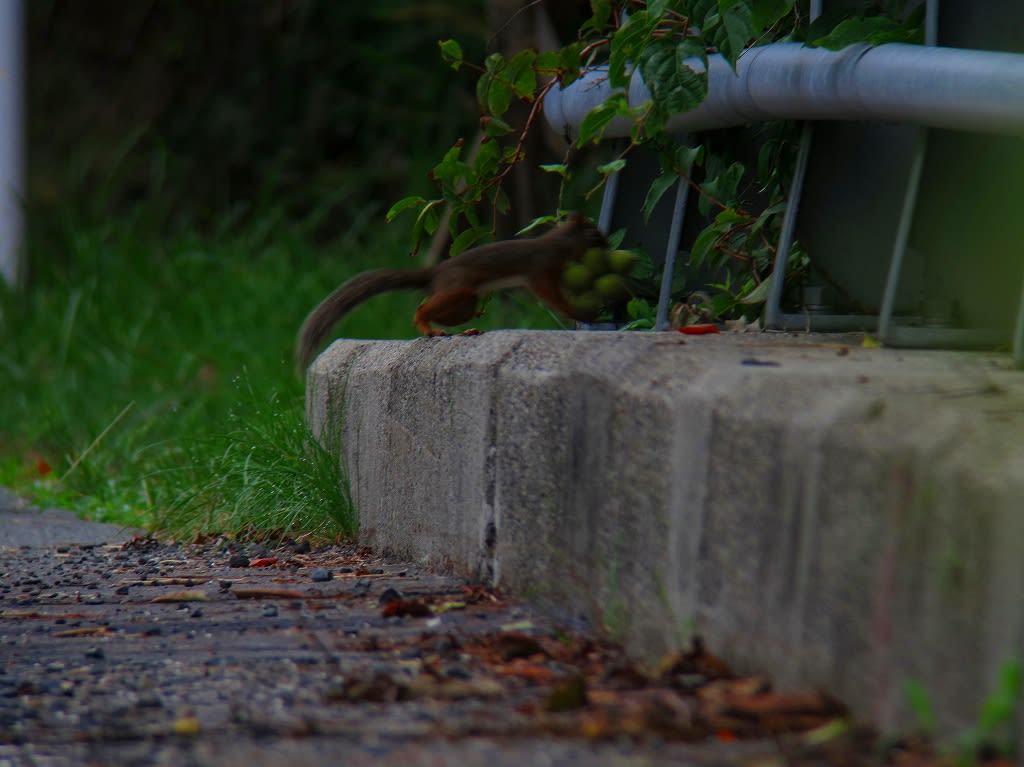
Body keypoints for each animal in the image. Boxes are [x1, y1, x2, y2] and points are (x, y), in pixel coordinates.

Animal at [292, 210, 602, 368]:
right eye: (596, 235)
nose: (607, 243)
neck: (560, 243)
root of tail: (435, 273)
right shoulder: (542, 270)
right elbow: (552, 296)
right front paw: (580, 311)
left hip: (463, 304)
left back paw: (466, 329)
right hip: (458, 290)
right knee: (422, 310)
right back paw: (428, 327)